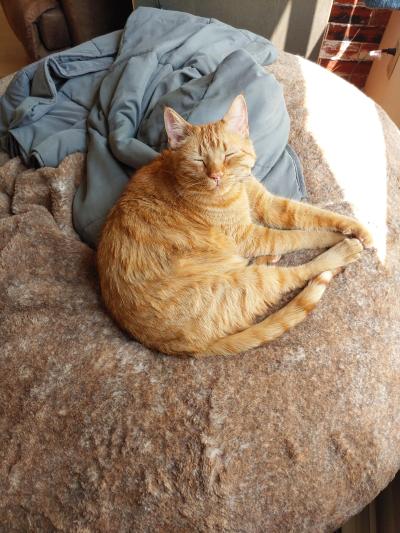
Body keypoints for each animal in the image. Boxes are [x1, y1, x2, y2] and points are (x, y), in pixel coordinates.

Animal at [97, 94, 372, 358]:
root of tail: (186, 348)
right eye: (199, 160)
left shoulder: (270, 206)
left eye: (229, 155)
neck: (235, 188)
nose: (216, 176)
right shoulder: (248, 236)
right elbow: (299, 237)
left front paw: (358, 229)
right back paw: (341, 253)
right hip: (248, 282)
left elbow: (313, 214)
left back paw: (271, 257)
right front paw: (338, 238)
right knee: (299, 272)